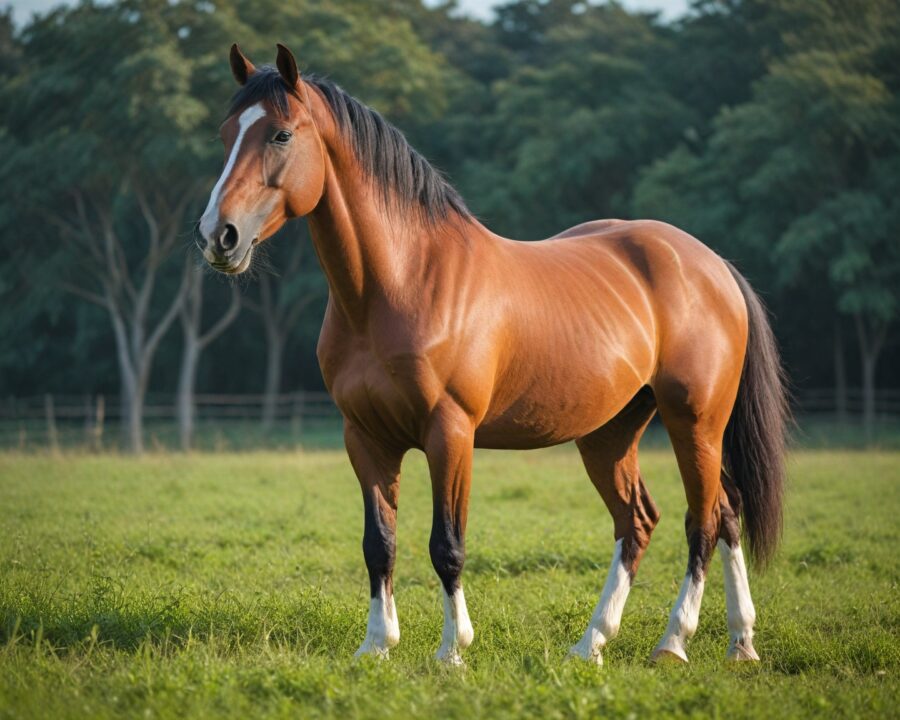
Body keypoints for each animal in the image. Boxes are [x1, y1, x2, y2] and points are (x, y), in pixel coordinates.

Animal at [197, 43, 788, 666]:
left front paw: (452, 651)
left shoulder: (450, 432)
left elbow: (447, 545)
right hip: (610, 432)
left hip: (694, 422)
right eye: (226, 133)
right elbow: (378, 544)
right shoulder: (365, 437)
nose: (218, 236)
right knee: (658, 519)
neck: (402, 283)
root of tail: (712, 265)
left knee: (706, 519)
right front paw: (377, 646)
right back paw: (639, 642)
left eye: (281, 134)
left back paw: (674, 641)